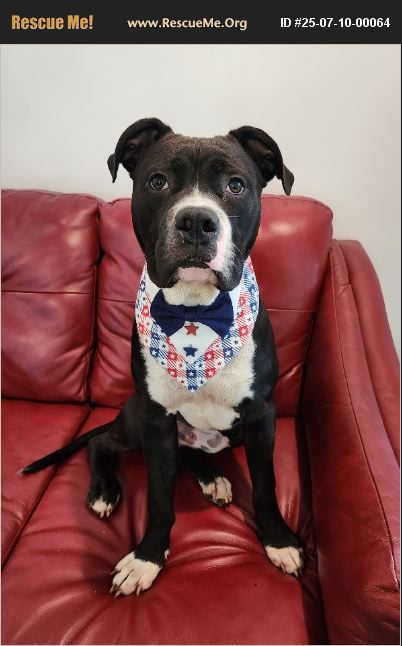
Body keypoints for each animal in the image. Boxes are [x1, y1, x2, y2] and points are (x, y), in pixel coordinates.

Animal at [24, 118, 304, 597]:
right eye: (158, 182)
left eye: (235, 185)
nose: (196, 221)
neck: (195, 308)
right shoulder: (155, 421)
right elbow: (158, 496)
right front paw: (147, 558)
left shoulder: (262, 417)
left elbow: (266, 488)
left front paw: (279, 540)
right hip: (135, 421)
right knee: (100, 442)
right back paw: (106, 491)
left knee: (192, 453)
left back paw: (212, 477)